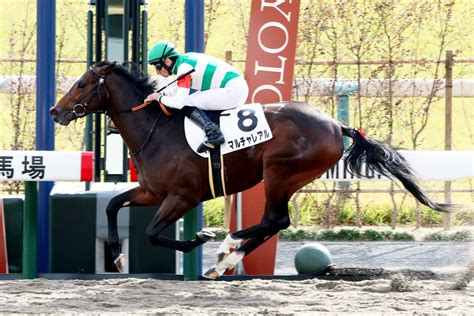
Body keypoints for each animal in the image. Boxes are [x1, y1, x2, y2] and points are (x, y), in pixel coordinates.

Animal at [50, 61, 450, 278]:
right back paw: (227, 257)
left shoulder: (181, 197)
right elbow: (112, 205)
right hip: (284, 177)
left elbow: (151, 233)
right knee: (274, 222)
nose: (56, 111)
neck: (156, 129)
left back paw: (228, 248)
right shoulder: (153, 191)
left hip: (279, 173)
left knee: (276, 220)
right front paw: (117, 256)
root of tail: (337, 125)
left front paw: (200, 237)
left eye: (82, 84)